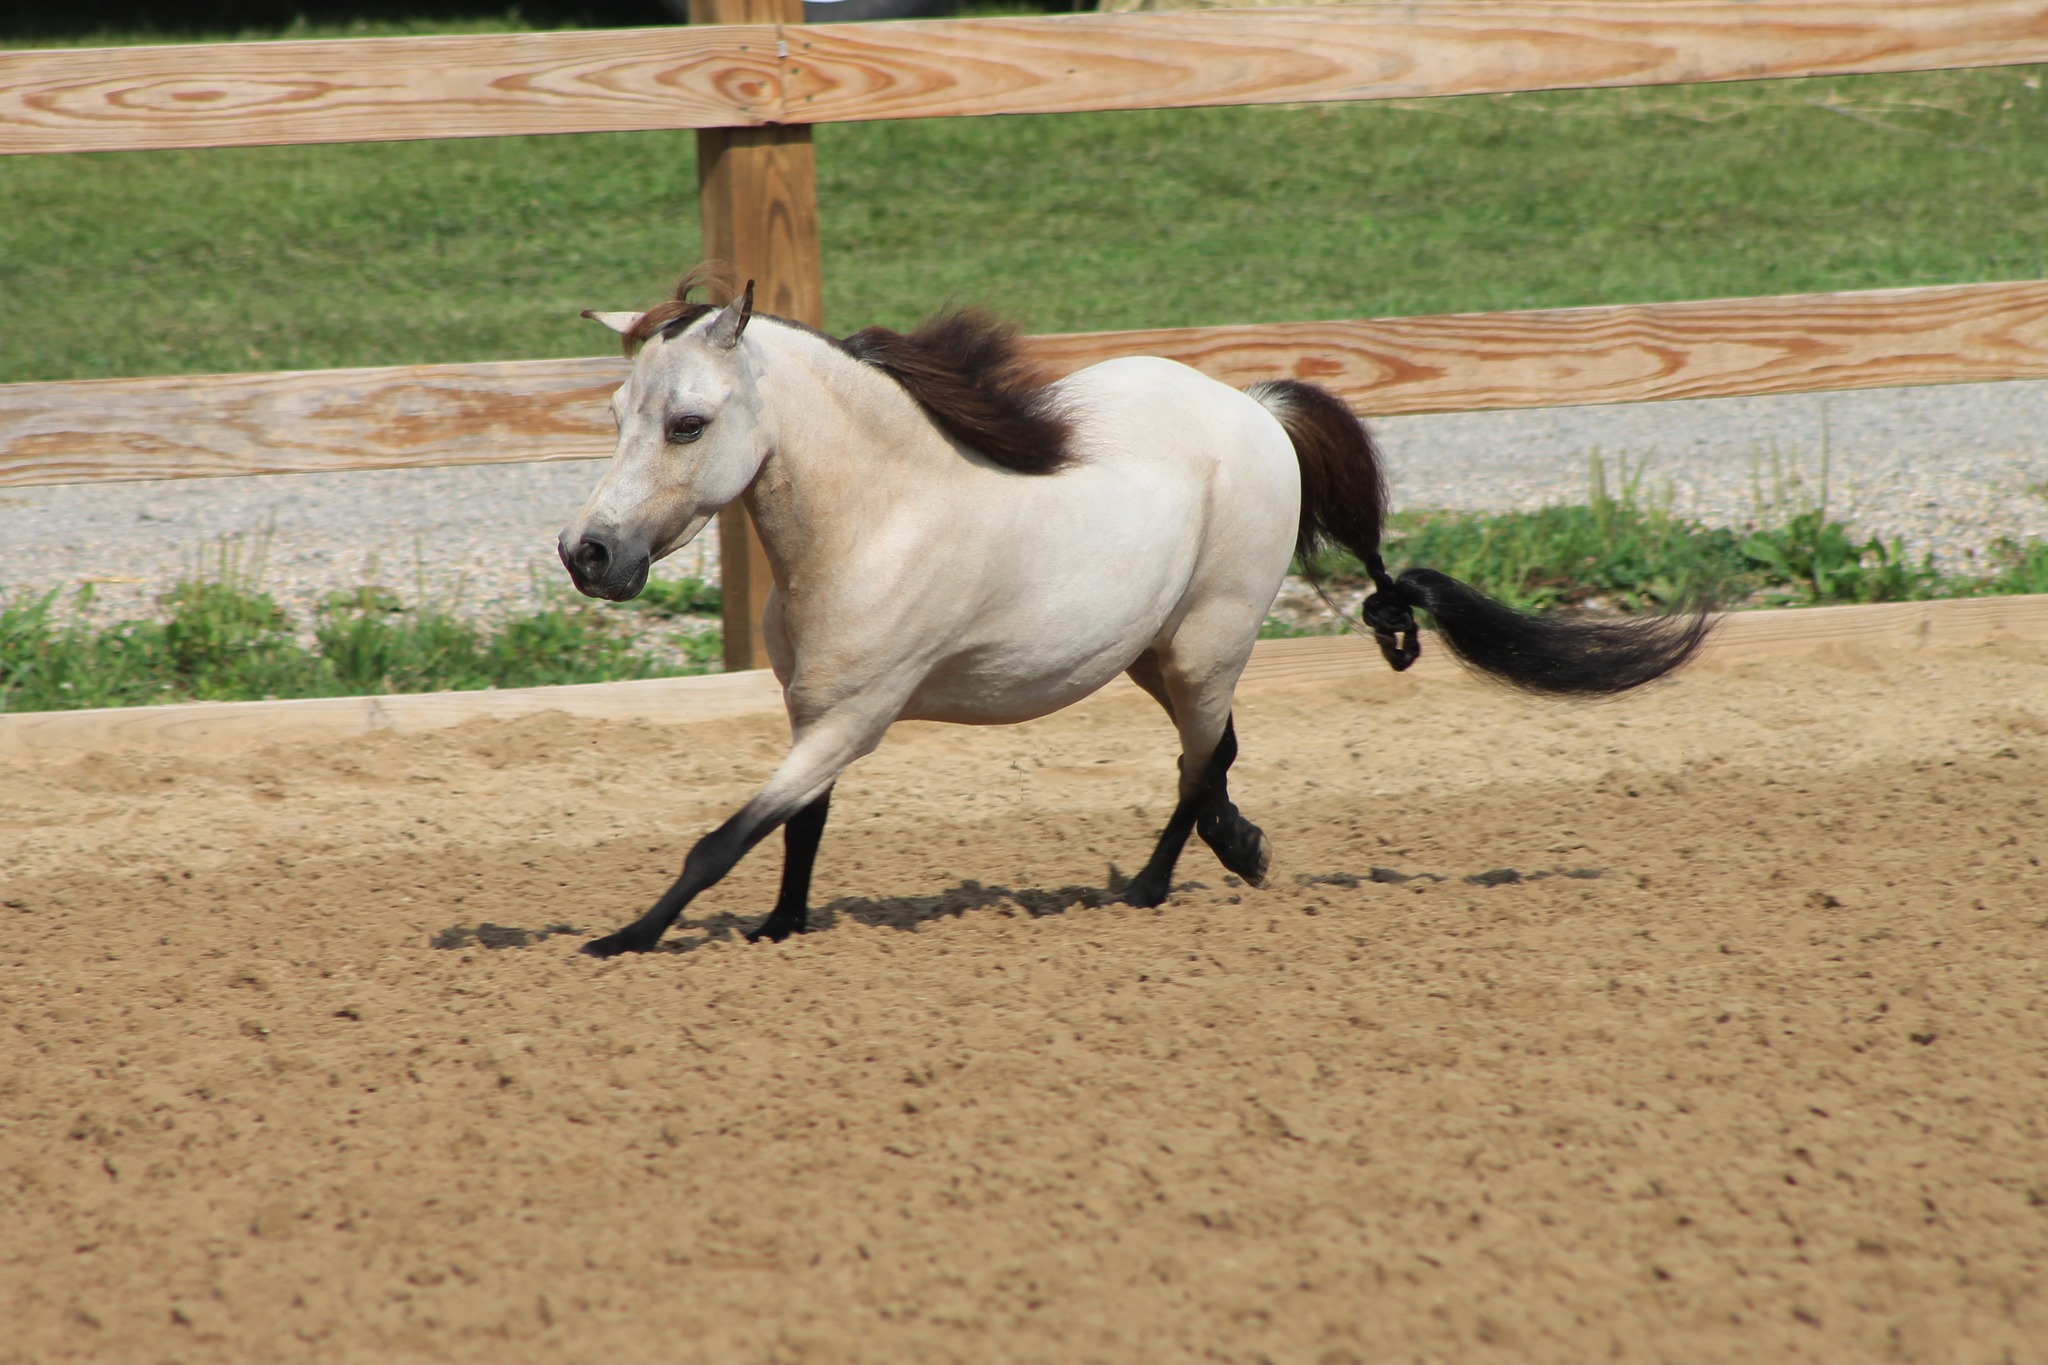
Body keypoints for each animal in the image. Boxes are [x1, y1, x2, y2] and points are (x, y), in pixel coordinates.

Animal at [559, 271, 1709, 957]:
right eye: (616, 414)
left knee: (1199, 762)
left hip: (1206, 644)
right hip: (1153, 653)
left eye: (687, 422)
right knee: (1218, 754)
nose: (588, 553)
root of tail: (1258, 410)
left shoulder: (854, 718)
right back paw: (1240, 850)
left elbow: (723, 836)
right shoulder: (814, 712)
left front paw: (620, 940)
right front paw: (780, 929)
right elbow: (797, 828)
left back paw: (1151, 891)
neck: (878, 519)